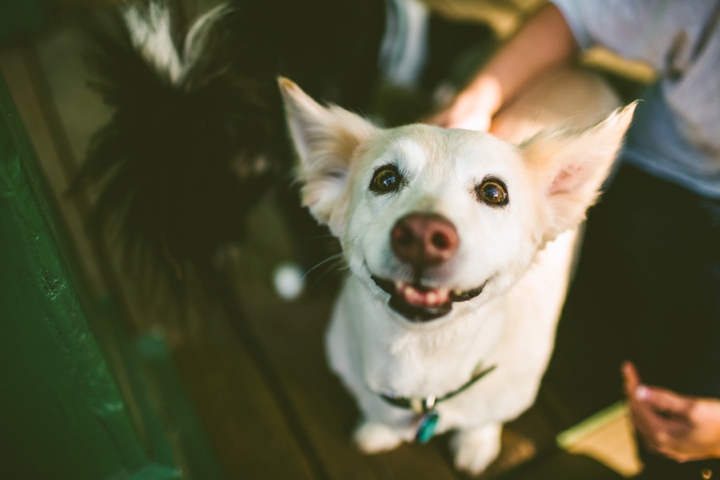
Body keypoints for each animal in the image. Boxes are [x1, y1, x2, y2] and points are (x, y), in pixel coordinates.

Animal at [278, 73, 632, 474]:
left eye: (493, 192)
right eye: (385, 179)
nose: (422, 236)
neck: (424, 356)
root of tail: (583, 72)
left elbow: (484, 420)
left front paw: (476, 442)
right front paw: (380, 430)